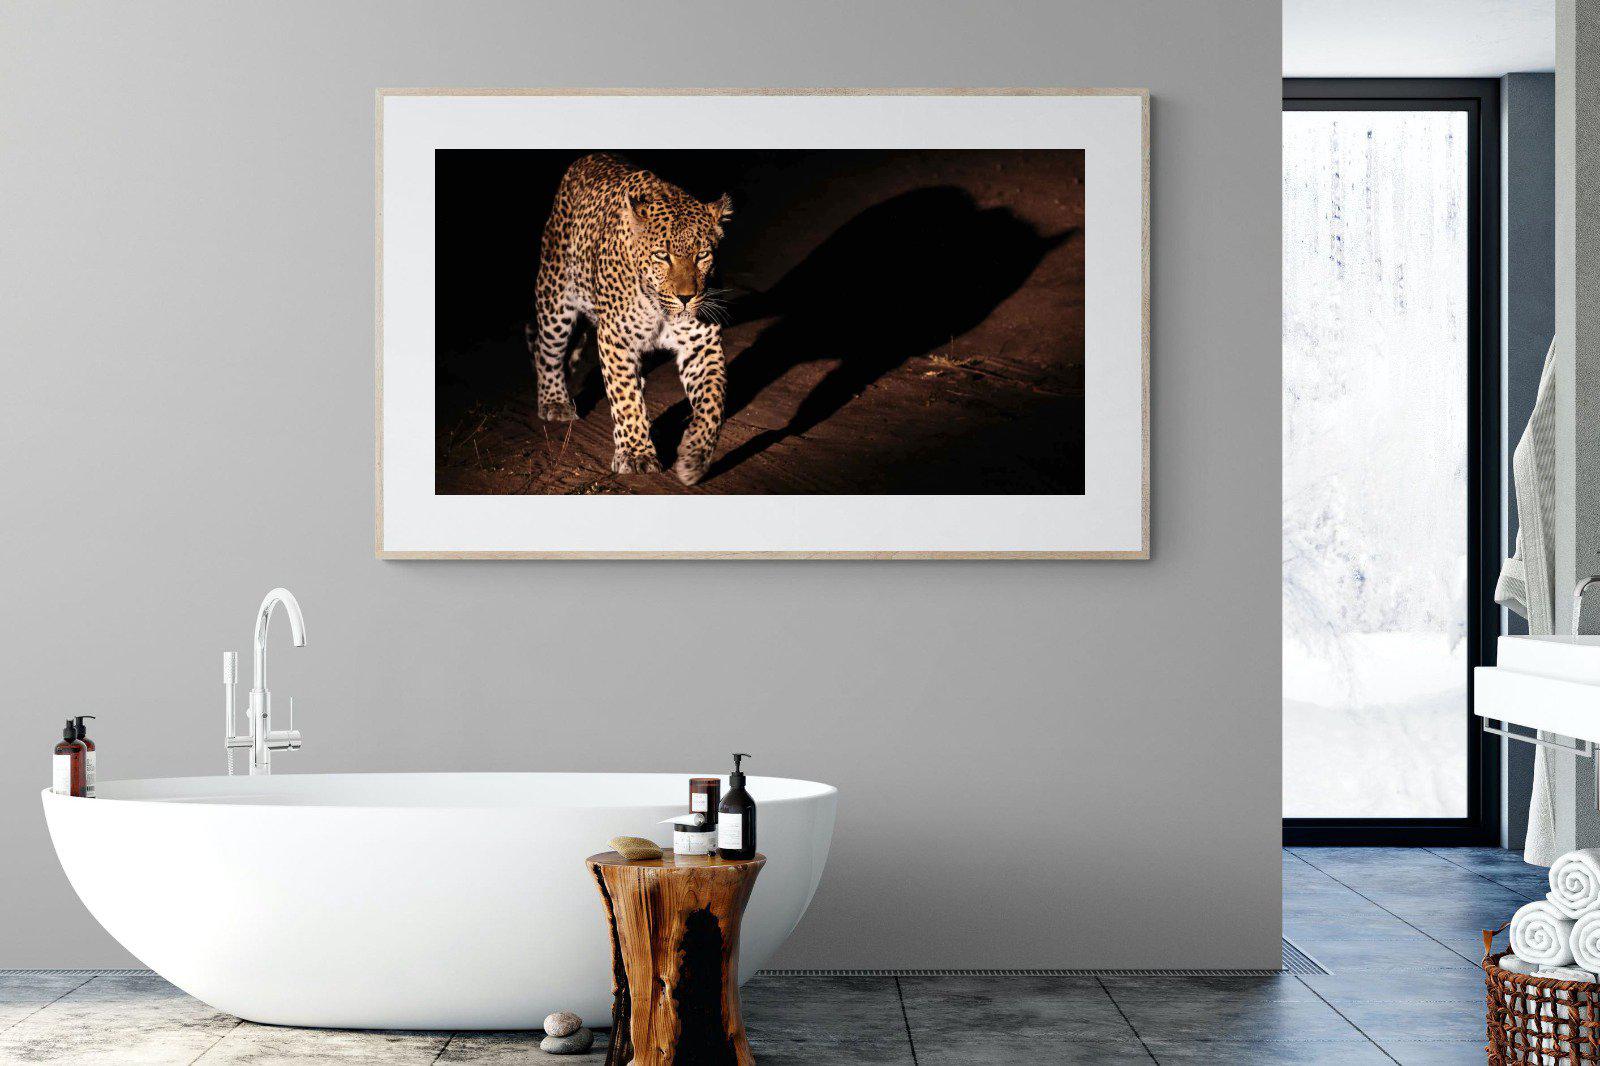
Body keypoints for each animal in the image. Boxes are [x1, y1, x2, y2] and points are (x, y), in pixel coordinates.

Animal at [527, 152, 733, 486]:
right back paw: (554, 402)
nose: (686, 298)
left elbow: (713, 402)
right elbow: (624, 397)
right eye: (662, 256)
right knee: (546, 351)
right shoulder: (616, 339)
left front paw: (694, 456)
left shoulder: (701, 344)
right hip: (555, 298)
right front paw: (636, 455)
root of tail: (588, 157)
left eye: (702, 255)